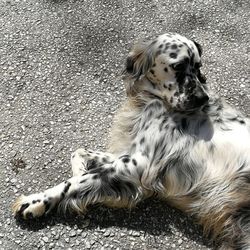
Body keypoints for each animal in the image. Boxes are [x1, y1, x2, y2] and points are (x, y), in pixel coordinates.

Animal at [12, 33, 250, 250]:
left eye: (198, 66)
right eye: (179, 66)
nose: (203, 98)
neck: (153, 101)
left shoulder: (140, 164)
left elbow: (74, 182)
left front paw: (37, 201)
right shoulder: (130, 153)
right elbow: (79, 153)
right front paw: (79, 171)